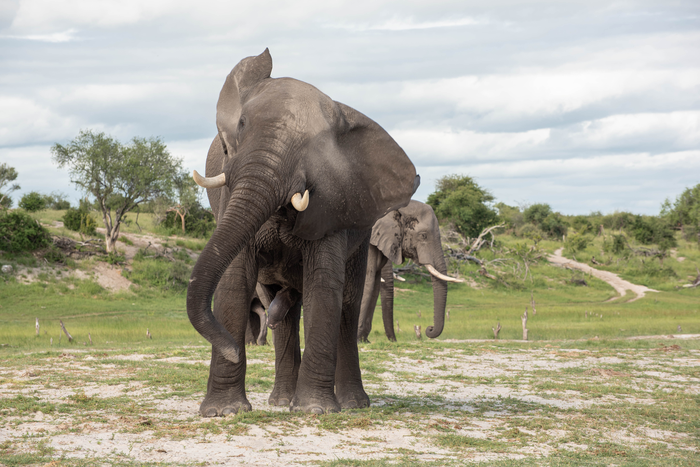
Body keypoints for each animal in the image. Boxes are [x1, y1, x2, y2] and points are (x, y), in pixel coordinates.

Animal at [186, 49, 419, 416]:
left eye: (316, 148)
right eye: (242, 125)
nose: (233, 350)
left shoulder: (333, 201)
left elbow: (323, 284)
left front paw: (315, 409)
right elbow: (234, 281)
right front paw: (225, 411)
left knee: (346, 304)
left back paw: (352, 404)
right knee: (286, 313)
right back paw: (281, 400)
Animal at [357, 200, 464, 342]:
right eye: (423, 235)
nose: (429, 329)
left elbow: (374, 285)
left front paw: (364, 341)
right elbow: (367, 283)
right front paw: (358, 341)